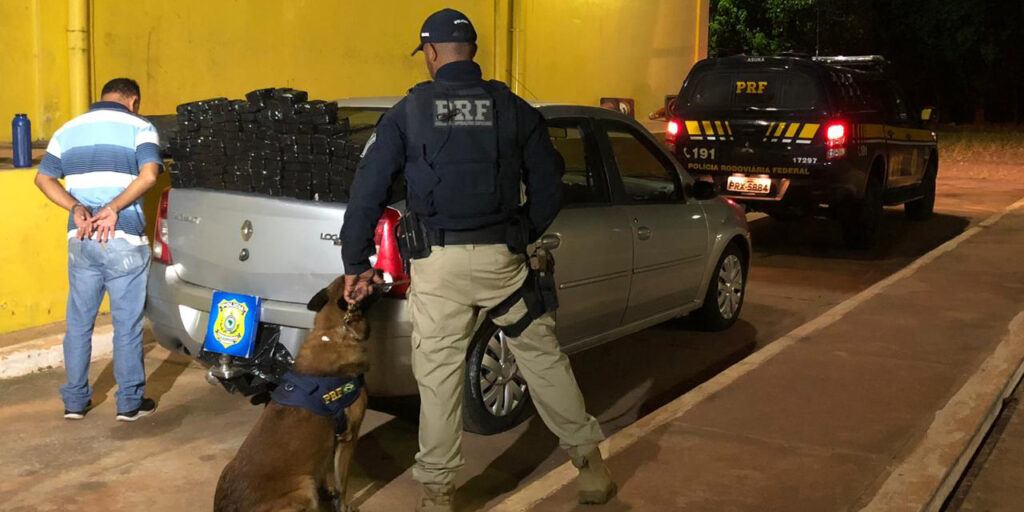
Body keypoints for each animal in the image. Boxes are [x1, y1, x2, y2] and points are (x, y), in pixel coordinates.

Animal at [216, 276, 372, 512]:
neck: (332, 332)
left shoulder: (328, 443)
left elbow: (323, 469)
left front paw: (326, 490)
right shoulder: (348, 439)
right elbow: (342, 485)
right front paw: (343, 506)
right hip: (303, 488)